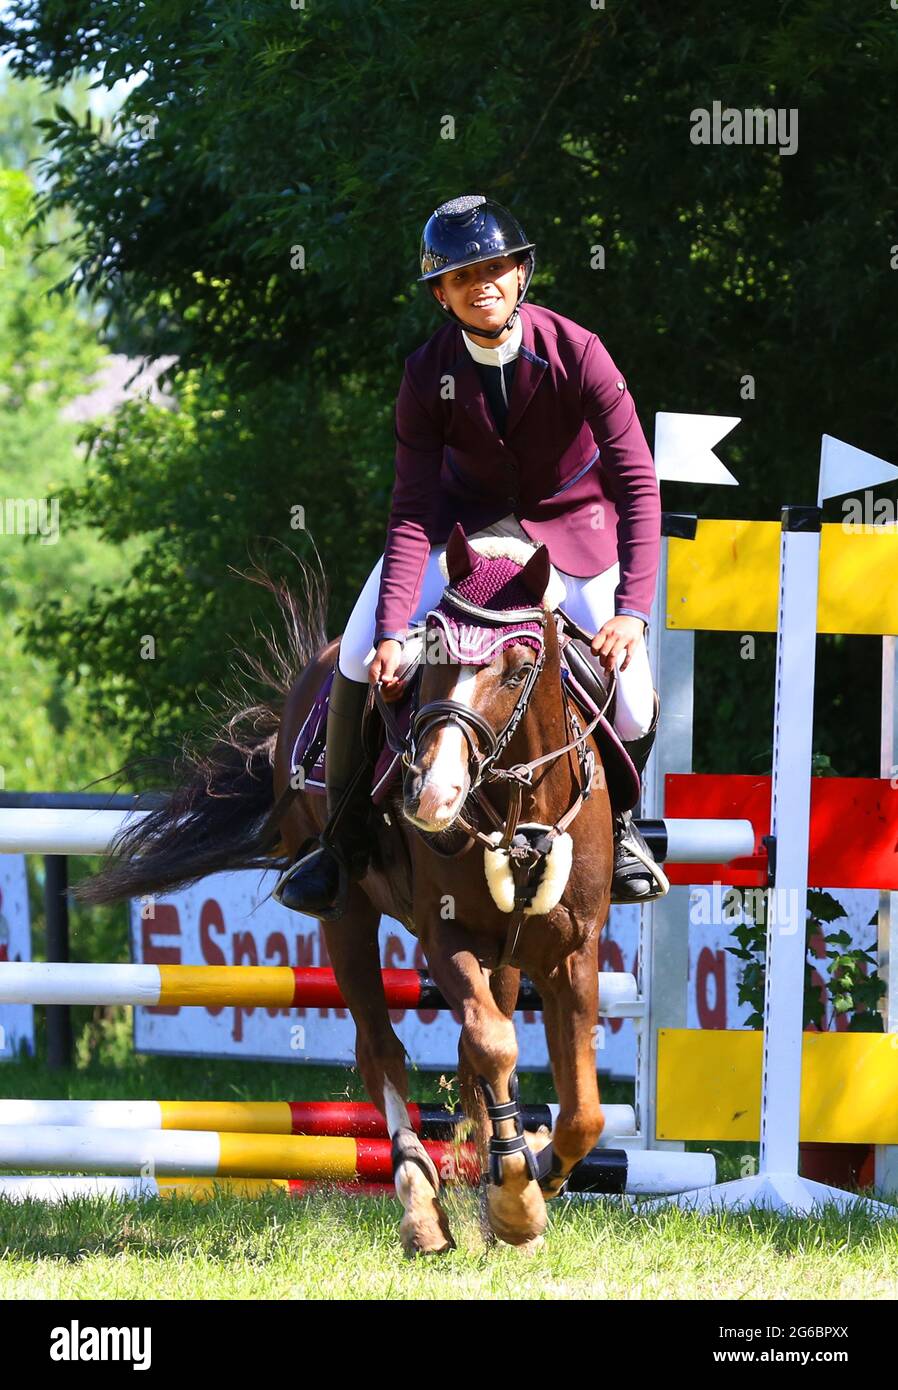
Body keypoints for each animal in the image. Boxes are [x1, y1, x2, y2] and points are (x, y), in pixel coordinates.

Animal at [80, 522, 614, 1262]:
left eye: (515, 670)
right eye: (431, 661)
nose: (433, 795)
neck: (519, 811)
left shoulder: (571, 948)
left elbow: (579, 1105)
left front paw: (527, 1181)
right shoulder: (446, 935)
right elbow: (494, 1046)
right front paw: (513, 1200)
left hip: (503, 956)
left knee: (474, 1049)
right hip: (346, 914)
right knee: (381, 1046)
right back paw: (422, 1208)